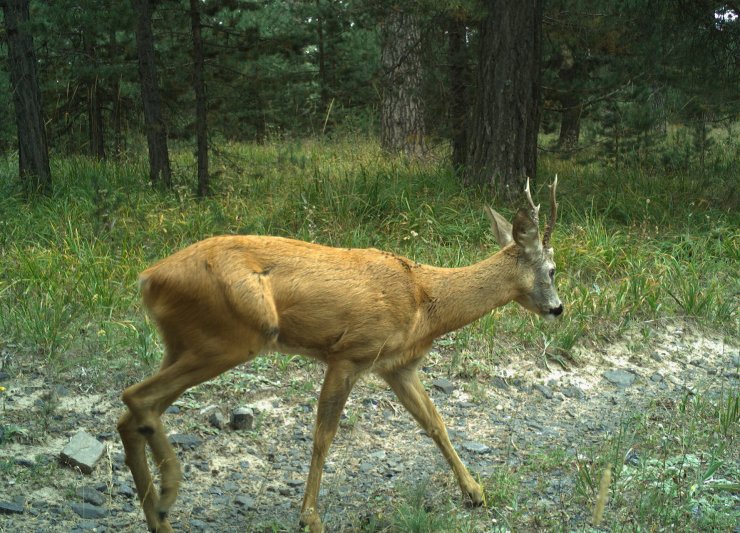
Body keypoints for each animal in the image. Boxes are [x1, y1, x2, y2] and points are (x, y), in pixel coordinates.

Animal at [118, 177, 564, 528]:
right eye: (553, 269)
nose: (558, 308)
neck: (425, 300)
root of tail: (148, 278)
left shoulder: (397, 367)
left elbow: (435, 423)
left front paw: (474, 492)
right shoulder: (350, 353)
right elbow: (323, 436)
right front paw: (309, 517)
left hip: (186, 342)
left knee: (134, 415)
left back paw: (159, 516)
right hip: (235, 334)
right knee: (135, 398)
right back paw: (169, 491)